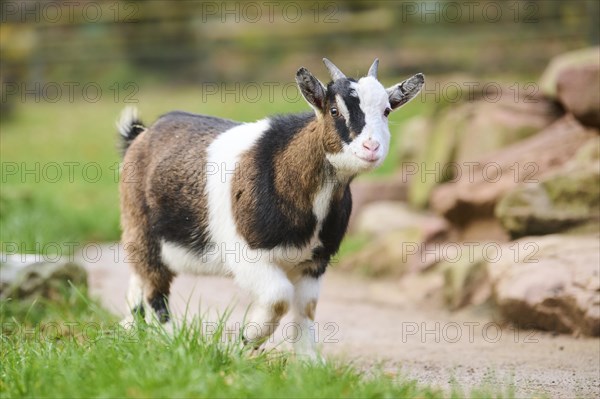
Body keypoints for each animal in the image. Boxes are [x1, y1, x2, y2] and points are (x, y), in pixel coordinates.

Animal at [117, 57, 424, 360]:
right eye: (334, 110)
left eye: (386, 110)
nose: (371, 148)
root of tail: (140, 136)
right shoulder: (247, 255)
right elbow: (279, 298)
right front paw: (245, 341)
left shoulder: (315, 262)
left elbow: (306, 308)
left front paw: (309, 362)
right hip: (141, 229)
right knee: (155, 288)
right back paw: (169, 342)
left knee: (139, 280)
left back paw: (131, 330)